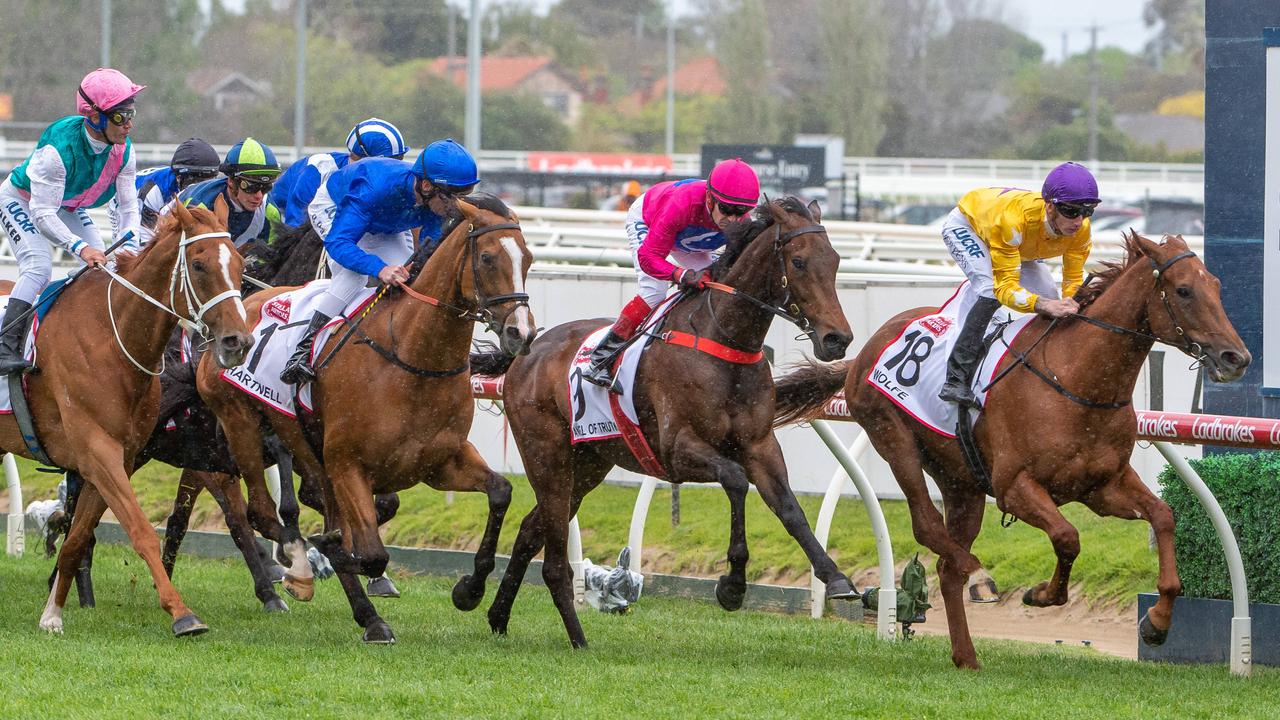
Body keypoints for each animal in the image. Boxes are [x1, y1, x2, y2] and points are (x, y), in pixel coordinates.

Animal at [11, 198, 252, 630]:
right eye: (199, 264)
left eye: (241, 263)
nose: (237, 342)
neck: (111, 338)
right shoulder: (98, 452)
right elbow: (140, 531)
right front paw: (181, 613)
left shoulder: (114, 456)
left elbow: (76, 538)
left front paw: (52, 614)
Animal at [197, 193, 537, 640]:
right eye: (486, 257)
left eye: (528, 258)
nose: (521, 333)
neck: (412, 358)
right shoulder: (347, 465)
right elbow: (367, 551)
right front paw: (323, 557)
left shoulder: (440, 462)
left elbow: (500, 492)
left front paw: (469, 589)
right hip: (241, 426)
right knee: (259, 511)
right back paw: (301, 571)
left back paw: (361, 609)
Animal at [478, 194, 860, 645]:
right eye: (798, 262)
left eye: (835, 260)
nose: (838, 339)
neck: (723, 339)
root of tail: (527, 350)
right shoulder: (677, 449)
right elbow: (735, 480)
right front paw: (732, 585)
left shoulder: (760, 444)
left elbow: (788, 507)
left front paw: (835, 578)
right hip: (546, 455)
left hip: (586, 466)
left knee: (529, 529)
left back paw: (494, 613)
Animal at [768, 230, 1249, 666]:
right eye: (1184, 290)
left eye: (1217, 286)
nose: (1236, 358)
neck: (1076, 380)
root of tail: (862, 352)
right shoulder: (1016, 487)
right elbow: (1068, 537)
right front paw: (1043, 593)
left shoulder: (1103, 486)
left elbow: (1164, 516)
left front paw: (1156, 624)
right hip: (893, 437)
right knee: (927, 526)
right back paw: (980, 577)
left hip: (961, 480)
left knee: (946, 564)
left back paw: (966, 655)